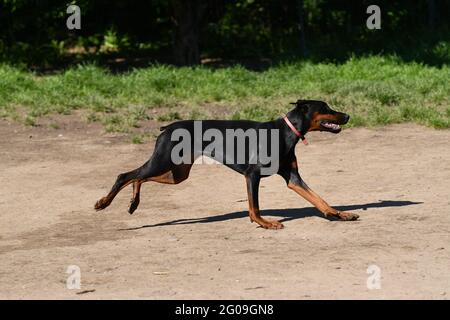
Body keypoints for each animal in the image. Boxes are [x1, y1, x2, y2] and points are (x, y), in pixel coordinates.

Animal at [95, 99, 358, 229]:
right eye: (325, 108)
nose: (347, 116)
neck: (285, 132)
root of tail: (167, 127)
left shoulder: (293, 178)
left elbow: (319, 199)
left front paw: (340, 214)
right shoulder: (253, 175)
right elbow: (255, 207)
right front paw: (263, 223)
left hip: (177, 173)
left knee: (138, 177)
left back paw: (133, 203)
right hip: (162, 161)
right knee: (126, 175)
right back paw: (103, 203)